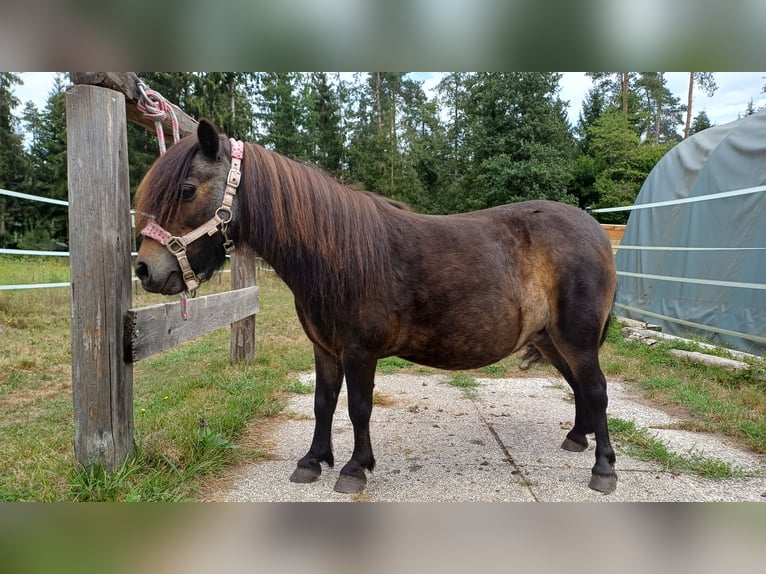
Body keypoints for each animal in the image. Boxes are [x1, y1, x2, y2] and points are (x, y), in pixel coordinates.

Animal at [134, 119, 619, 495]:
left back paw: (604, 469)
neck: (336, 254)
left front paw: (354, 469)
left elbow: (358, 407)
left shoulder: (359, 351)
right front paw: (312, 461)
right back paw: (577, 438)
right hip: (552, 339)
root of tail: (595, 230)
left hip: (576, 337)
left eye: (187, 189)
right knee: (578, 386)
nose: (145, 269)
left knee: (596, 389)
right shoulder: (325, 349)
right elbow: (323, 403)